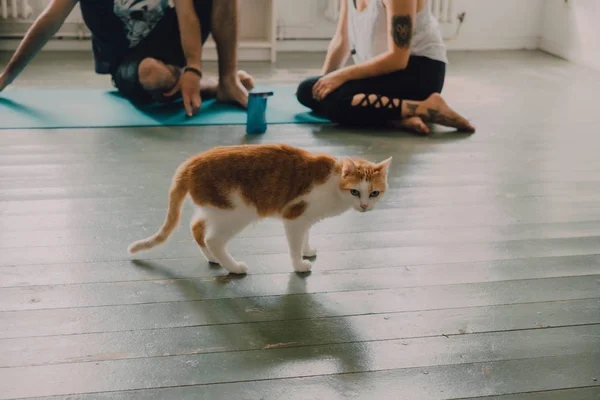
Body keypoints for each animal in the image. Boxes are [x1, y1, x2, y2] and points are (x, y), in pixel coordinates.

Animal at [127, 145, 392, 276]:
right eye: (355, 191)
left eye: (374, 193)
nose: (364, 206)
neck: (334, 183)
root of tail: (189, 163)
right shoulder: (294, 216)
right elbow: (294, 244)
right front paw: (299, 264)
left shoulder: (305, 218)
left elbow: (306, 236)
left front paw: (306, 250)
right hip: (238, 212)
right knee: (213, 239)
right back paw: (234, 268)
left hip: (215, 209)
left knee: (197, 228)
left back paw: (214, 259)